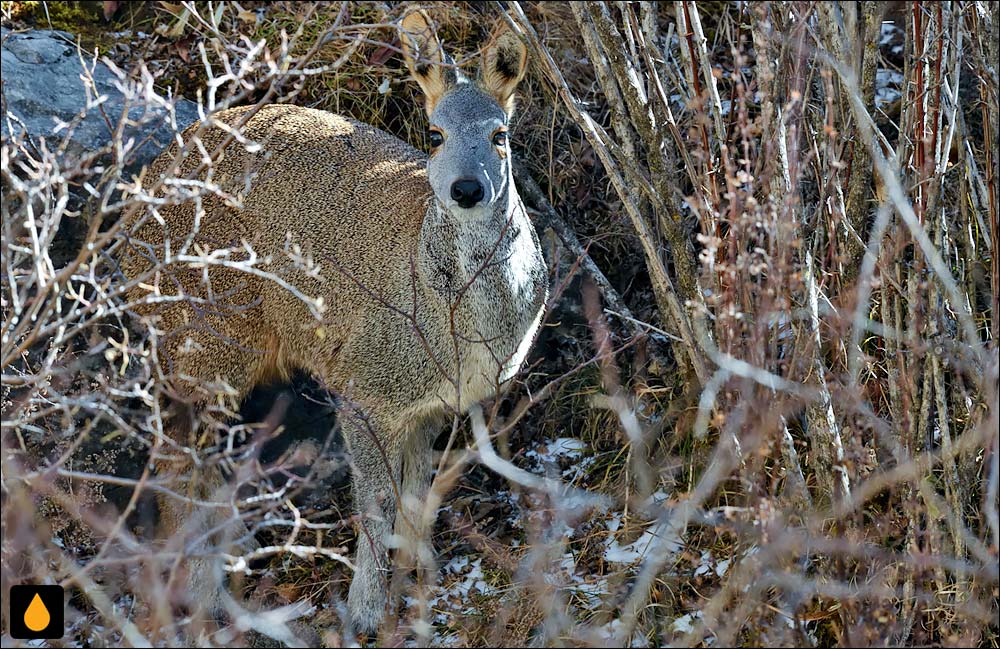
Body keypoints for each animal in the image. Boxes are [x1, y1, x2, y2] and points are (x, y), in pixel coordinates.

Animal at [121, 8, 552, 636]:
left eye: (500, 136)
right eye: (434, 135)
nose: (467, 189)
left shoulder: (430, 407)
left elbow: (417, 496)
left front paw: (421, 578)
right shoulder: (363, 389)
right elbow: (375, 504)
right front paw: (366, 611)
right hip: (204, 341)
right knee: (179, 464)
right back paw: (197, 598)